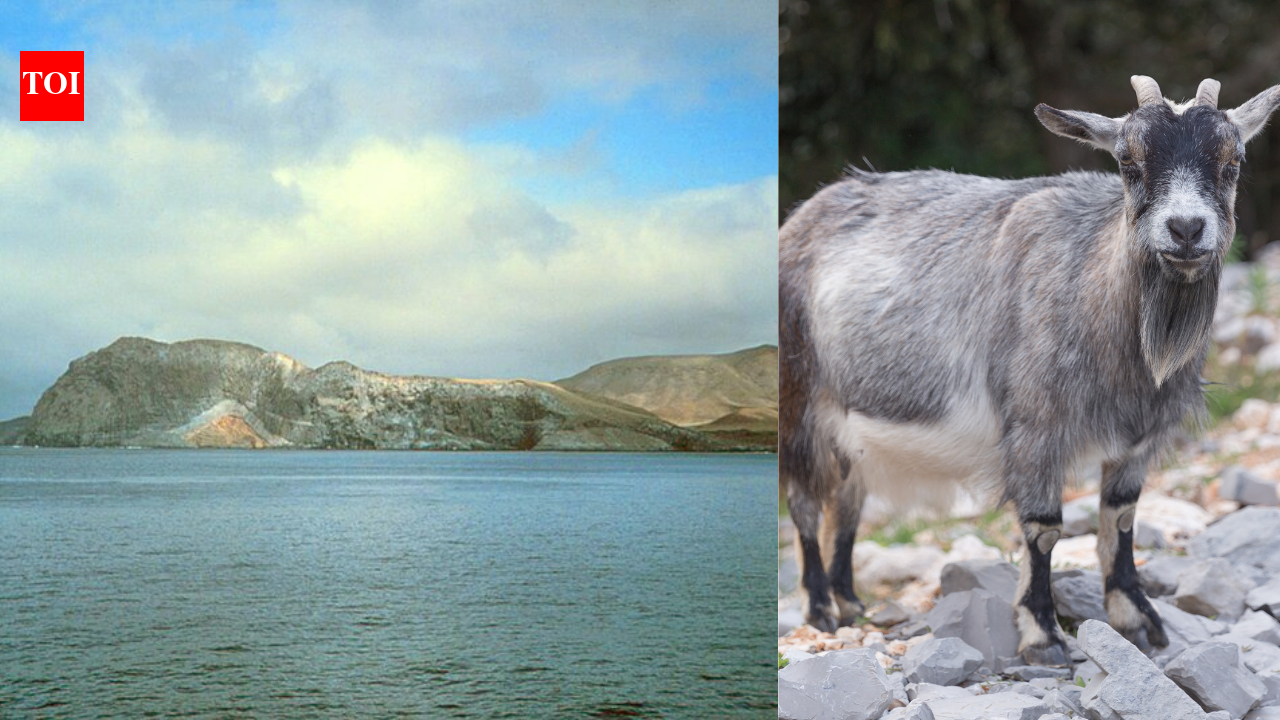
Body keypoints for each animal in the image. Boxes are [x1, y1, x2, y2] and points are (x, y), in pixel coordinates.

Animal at [780, 76, 1280, 661]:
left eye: (1232, 162)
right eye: (1128, 162)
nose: (1185, 228)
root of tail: (802, 218)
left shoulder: (1140, 438)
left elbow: (1122, 517)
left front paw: (1138, 618)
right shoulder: (1036, 427)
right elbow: (1043, 528)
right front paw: (1042, 632)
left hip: (852, 430)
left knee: (847, 503)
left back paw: (851, 602)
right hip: (801, 401)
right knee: (805, 503)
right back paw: (820, 608)